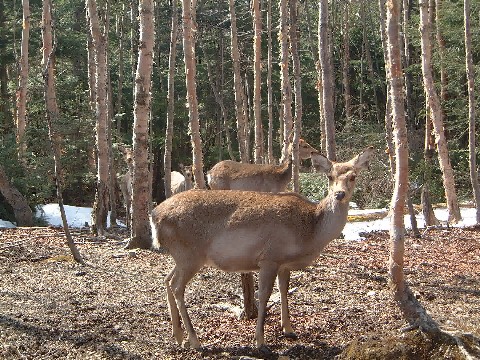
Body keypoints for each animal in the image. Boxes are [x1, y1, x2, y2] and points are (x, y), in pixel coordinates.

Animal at [151, 146, 376, 348]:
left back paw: (178, 336)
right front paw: (260, 341)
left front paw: (289, 329)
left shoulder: (284, 263)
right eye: (330, 176)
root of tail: (155, 216)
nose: (339, 194)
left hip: (182, 256)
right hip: (189, 254)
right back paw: (195, 341)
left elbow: (284, 290)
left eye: (353, 176)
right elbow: (265, 294)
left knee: (167, 279)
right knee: (177, 286)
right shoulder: (270, 257)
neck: (310, 230)